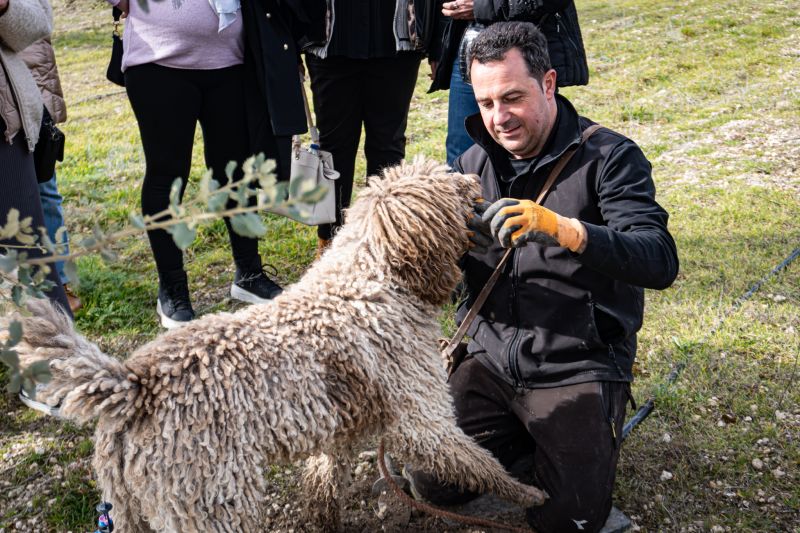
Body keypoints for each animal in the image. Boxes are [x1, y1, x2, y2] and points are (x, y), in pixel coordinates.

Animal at [9, 159, 548, 532]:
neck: (374, 276)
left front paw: (324, 520)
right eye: (449, 187)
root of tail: (134, 384)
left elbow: (324, 481)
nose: (475, 182)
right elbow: (478, 463)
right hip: (213, 504)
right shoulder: (422, 420)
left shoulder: (340, 427)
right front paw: (528, 494)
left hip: (130, 509)